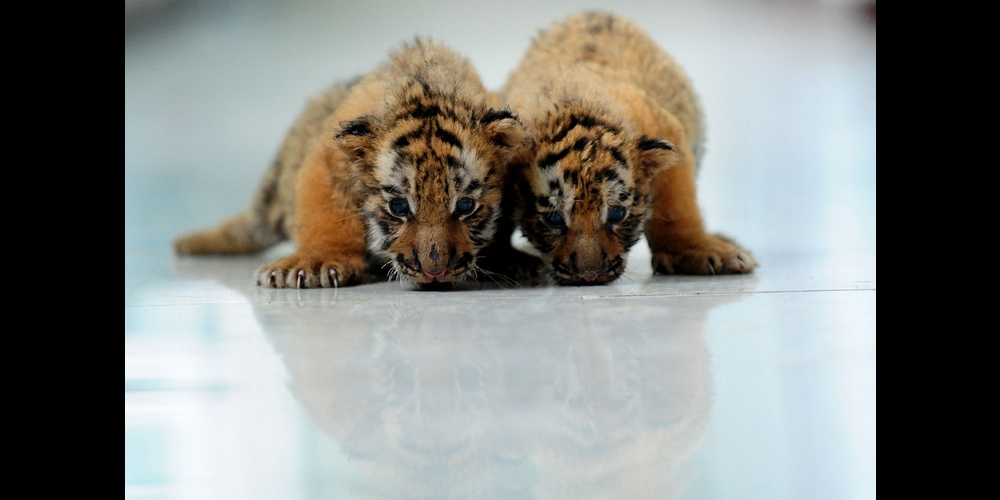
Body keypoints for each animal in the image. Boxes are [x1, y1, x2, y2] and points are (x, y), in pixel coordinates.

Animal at [174, 39, 526, 288]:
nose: (434, 270)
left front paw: (508, 261)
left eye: (466, 206)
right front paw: (315, 263)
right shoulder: (328, 161)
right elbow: (324, 214)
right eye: (399, 207)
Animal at [502, 12, 758, 285]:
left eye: (617, 214)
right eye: (553, 218)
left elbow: (676, 205)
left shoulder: (668, 131)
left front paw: (696, 252)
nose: (590, 275)